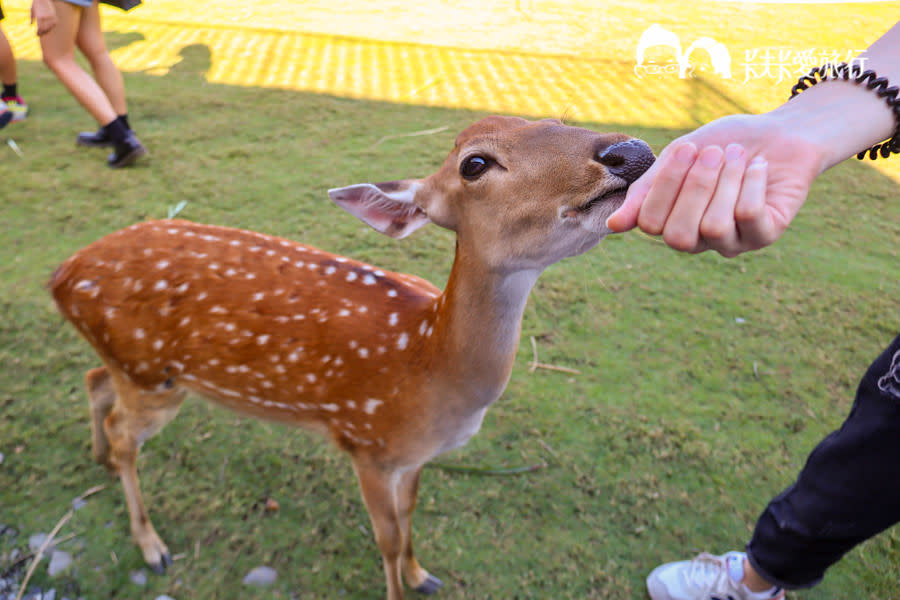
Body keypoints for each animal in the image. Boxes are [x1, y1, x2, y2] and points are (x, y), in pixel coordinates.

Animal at [51, 115, 652, 596]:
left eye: (557, 117)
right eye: (475, 163)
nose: (632, 151)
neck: (431, 372)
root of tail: (62, 275)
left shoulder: (412, 458)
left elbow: (409, 518)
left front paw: (422, 575)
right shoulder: (367, 444)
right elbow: (386, 537)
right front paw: (401, 584)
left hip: (132, 368)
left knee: (94, 381)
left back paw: (100, 458)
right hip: (151, 375)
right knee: (124, 430)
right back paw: (152, 545)